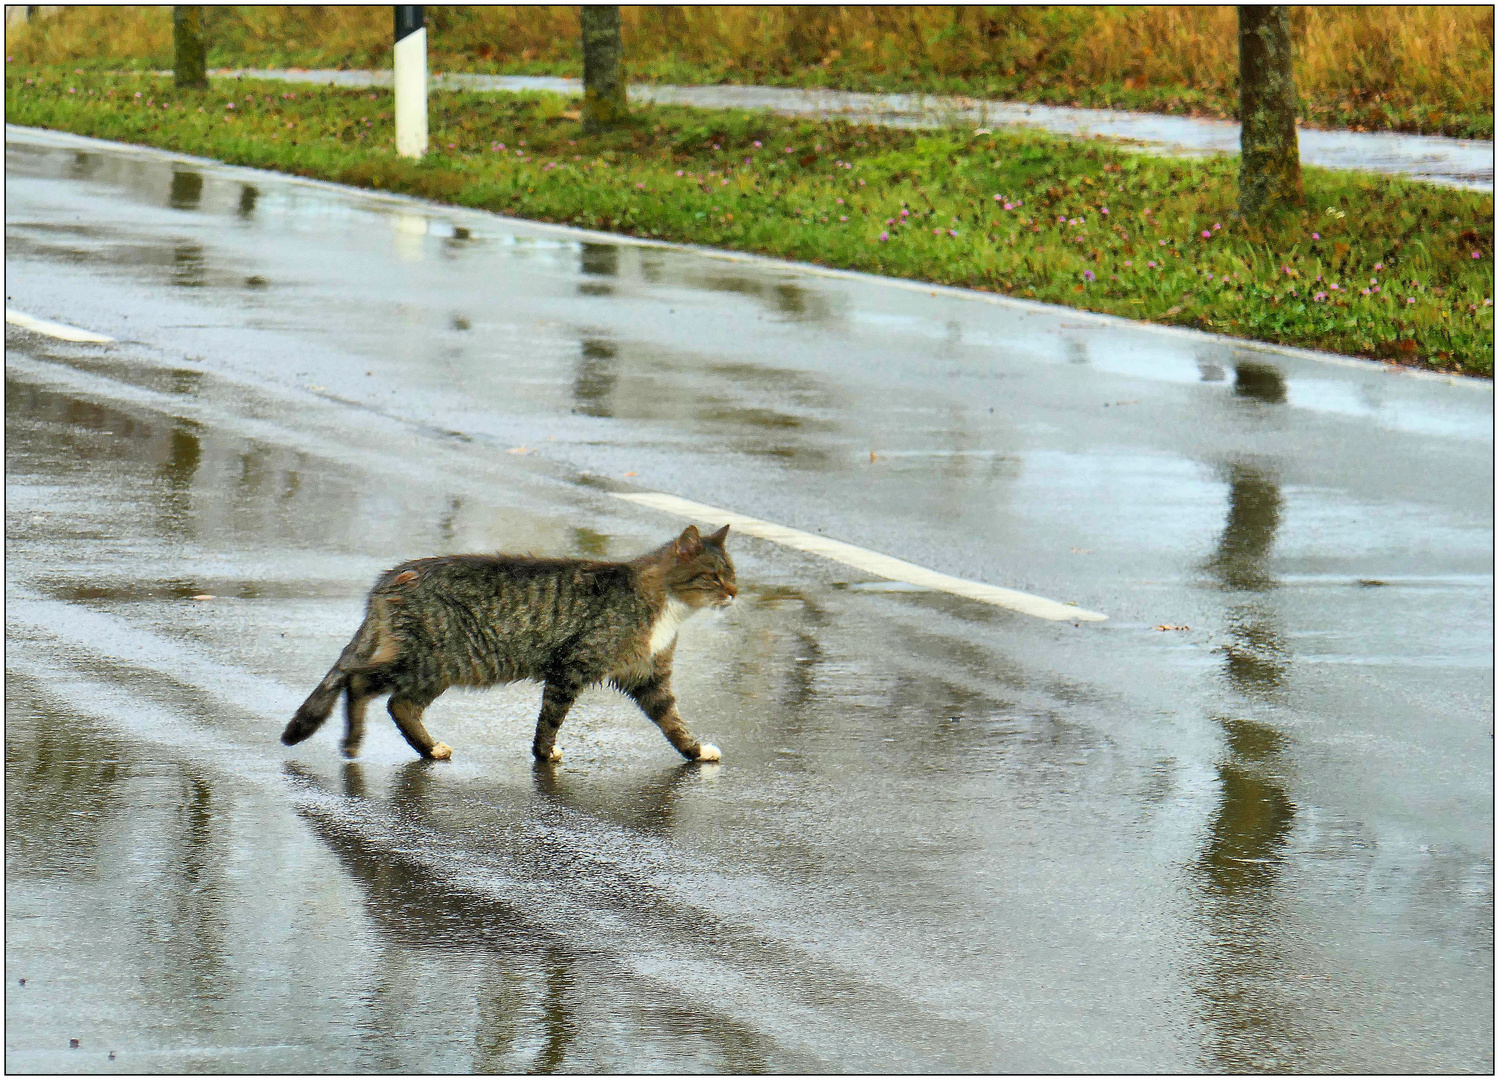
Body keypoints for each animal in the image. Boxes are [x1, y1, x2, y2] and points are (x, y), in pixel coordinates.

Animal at [280, 522, 731, 759]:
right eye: (714, 576)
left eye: (733, 573)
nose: (735, 593)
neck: (668, 611)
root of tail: (392, 575)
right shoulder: (572, 667)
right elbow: (550, 719)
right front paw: (545, 755)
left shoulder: (651, 677)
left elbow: (673, 721)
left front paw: (696, 753)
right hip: (432, 659)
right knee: (359, 681)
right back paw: (354, 741)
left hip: (439, 668)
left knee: (399, 705)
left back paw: (429, 749)